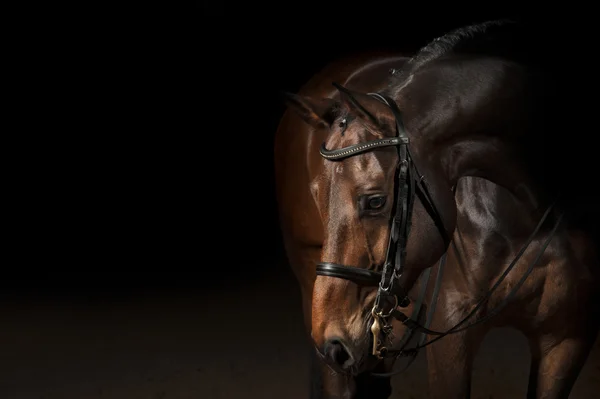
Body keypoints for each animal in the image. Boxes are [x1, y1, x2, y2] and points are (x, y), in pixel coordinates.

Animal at [274, 19, 596, 399]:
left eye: (375, 200)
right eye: (318, 195)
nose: (333, 342)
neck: (529, 211)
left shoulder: (566, 341)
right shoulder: (449, 339)